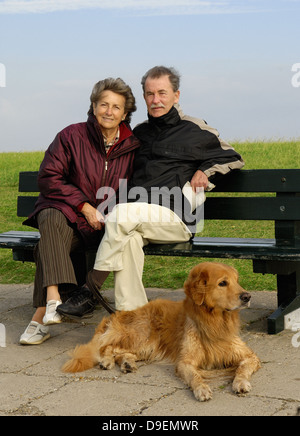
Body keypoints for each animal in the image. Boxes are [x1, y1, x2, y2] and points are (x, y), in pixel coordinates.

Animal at [62, 262, 260, 402]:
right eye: (223, 283)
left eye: (237, 281)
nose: (247, 296)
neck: (214, 321)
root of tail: (117, 314)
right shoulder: (185, 362)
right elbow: (195, 376)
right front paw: (201, 389)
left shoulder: (250, 356)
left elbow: (242, 368)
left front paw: (241, 382)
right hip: (143, 335)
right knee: (108, 347)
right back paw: (107, 361)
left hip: (149, 347)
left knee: (121, 352)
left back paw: (127, 363)